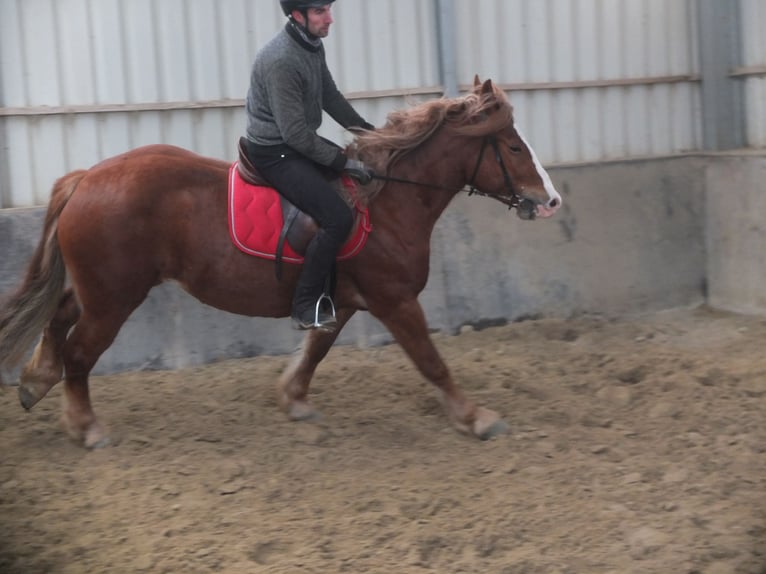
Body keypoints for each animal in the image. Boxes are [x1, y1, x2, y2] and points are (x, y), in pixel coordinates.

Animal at [0, 77, 564, 450]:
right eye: (514, 146)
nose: (552, 201)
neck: (387, 201)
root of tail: (85, 178)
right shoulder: (395, 300)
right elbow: (432, 361)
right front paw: (476, 417)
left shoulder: (343, 301)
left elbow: (315, 350)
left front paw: (293, 399)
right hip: (114, 297)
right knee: (79, 353)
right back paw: (86, 426)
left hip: (100, 290)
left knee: (59, 319)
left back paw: (35, 382)